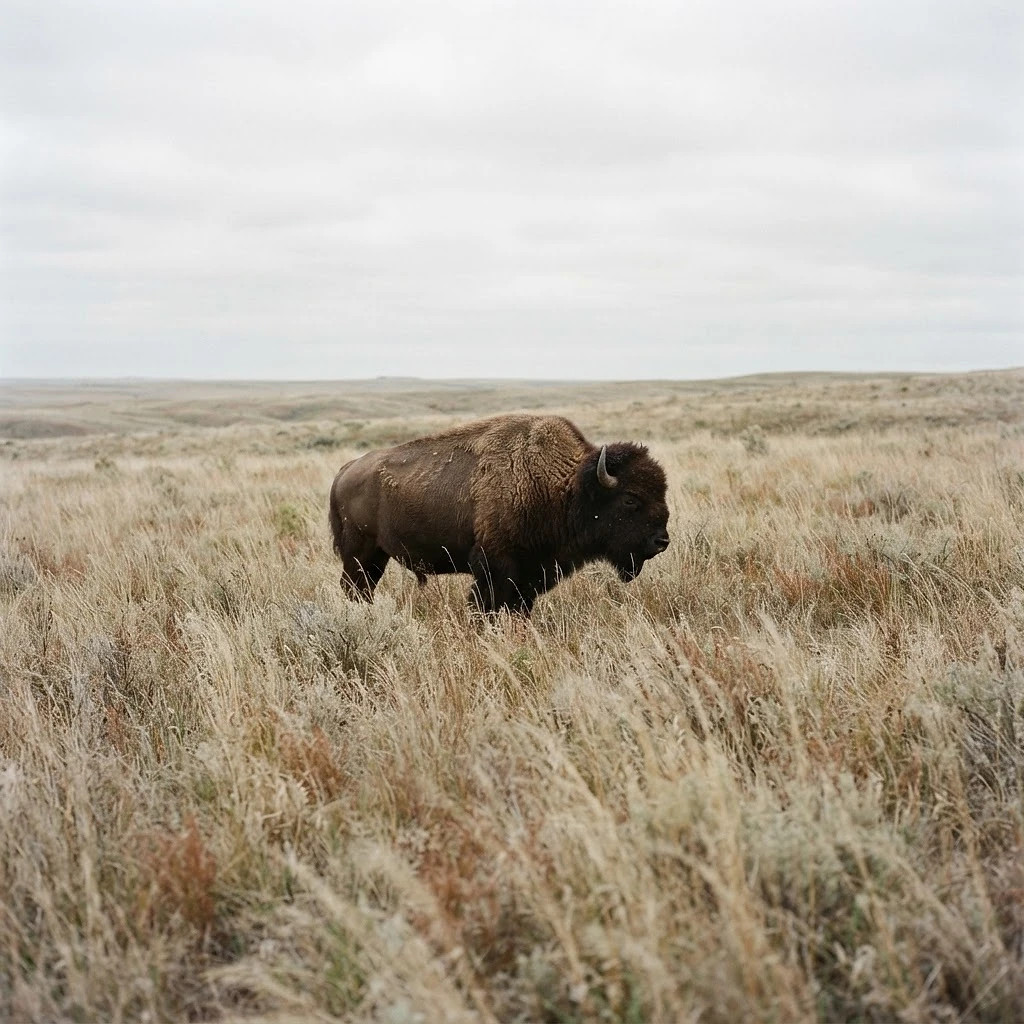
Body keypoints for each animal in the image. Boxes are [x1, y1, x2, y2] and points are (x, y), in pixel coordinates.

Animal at [328, 414, 670, 614]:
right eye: (630, 499)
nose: (662, 541)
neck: (567, 485)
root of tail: (346, 470)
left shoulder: (531, 573)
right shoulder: (495, 567)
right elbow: (486, 605)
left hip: (376, 556)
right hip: (360, 552)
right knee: (353, 587)